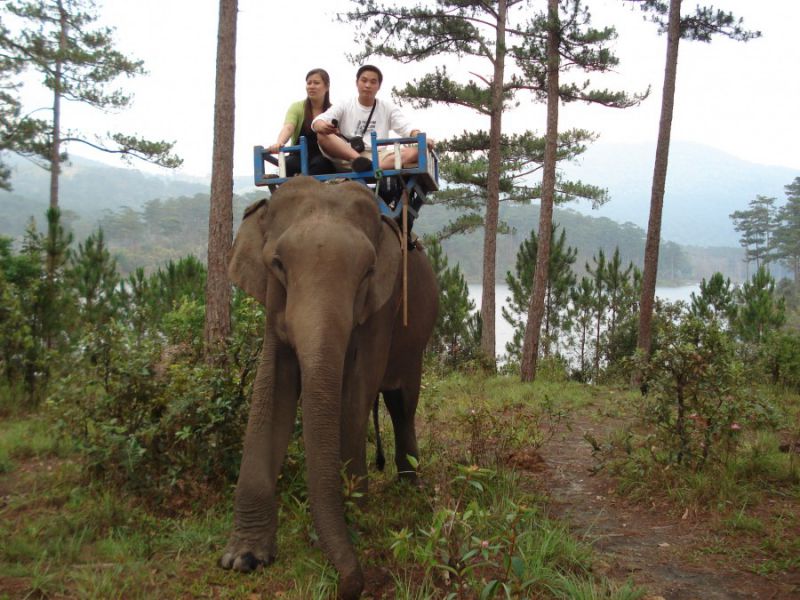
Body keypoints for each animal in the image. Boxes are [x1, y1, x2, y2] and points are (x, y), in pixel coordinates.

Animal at [219, 176, 438, 596]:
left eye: (368, 270)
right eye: (278, 264)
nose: (350, 584)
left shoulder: (382, 307)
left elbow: (357, 388)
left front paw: (356, 513)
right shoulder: (274, 304)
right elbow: (271, 388)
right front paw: (244, 558)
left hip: (416, 337)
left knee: (402, 402)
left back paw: (411, 486)